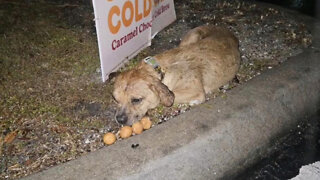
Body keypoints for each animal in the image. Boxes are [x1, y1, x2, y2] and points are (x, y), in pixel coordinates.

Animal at [112, 25, 240, 124]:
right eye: (115, 100)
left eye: (136, 100)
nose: (119, 120)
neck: (161, 70)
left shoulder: (194, 90)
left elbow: (162, 99)